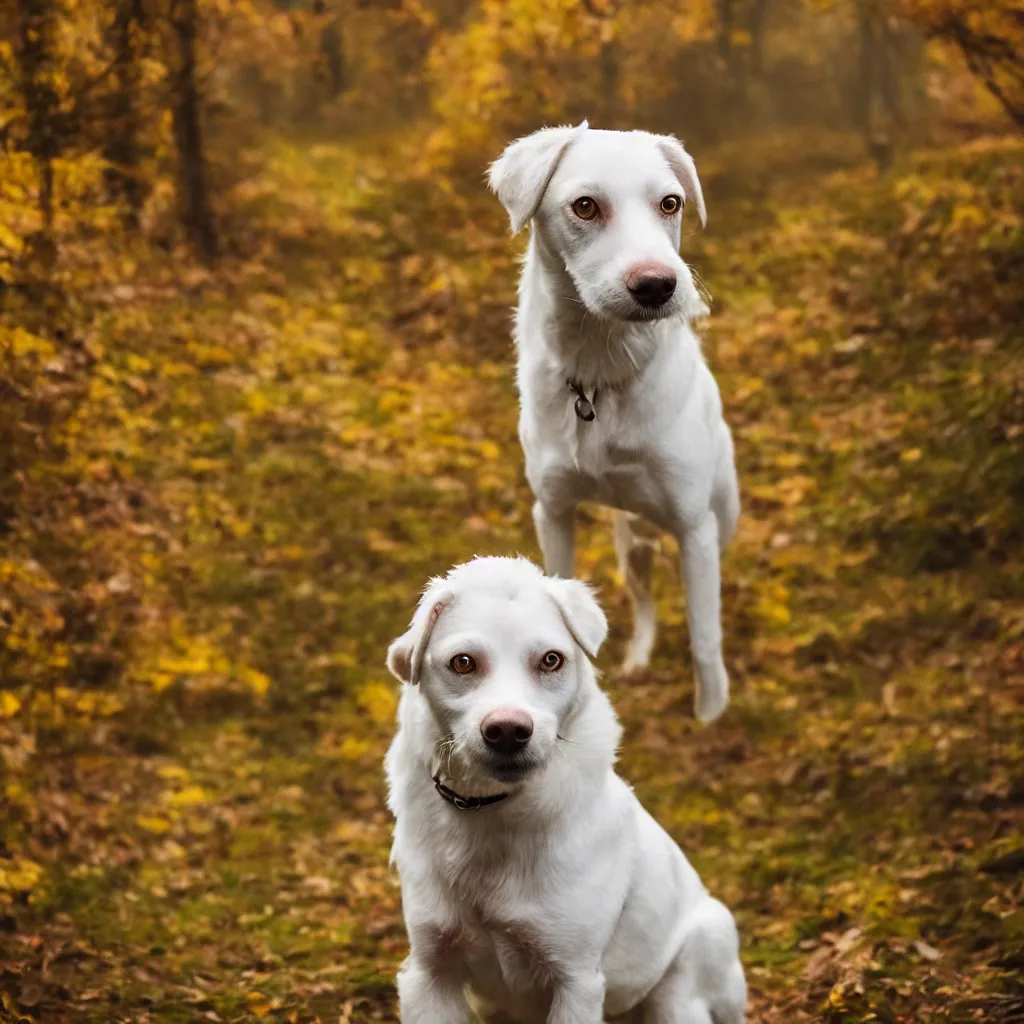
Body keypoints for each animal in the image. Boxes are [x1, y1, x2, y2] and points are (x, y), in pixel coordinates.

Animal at [385, 557, 745, 1024]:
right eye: (463, 663)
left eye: (551, 660)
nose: (507, 731)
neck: (491, 813)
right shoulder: (429, 972)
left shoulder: (575, 980)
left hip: (684, 986)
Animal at [489, 123, 741, 724]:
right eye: (585, 206)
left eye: (671, 203)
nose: (658, 285)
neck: (601, 372)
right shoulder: (553, 512)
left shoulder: (695, 529)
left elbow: (704, 636)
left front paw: (711, 715)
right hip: (633, 546)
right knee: (644, 599)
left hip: (720, 521)